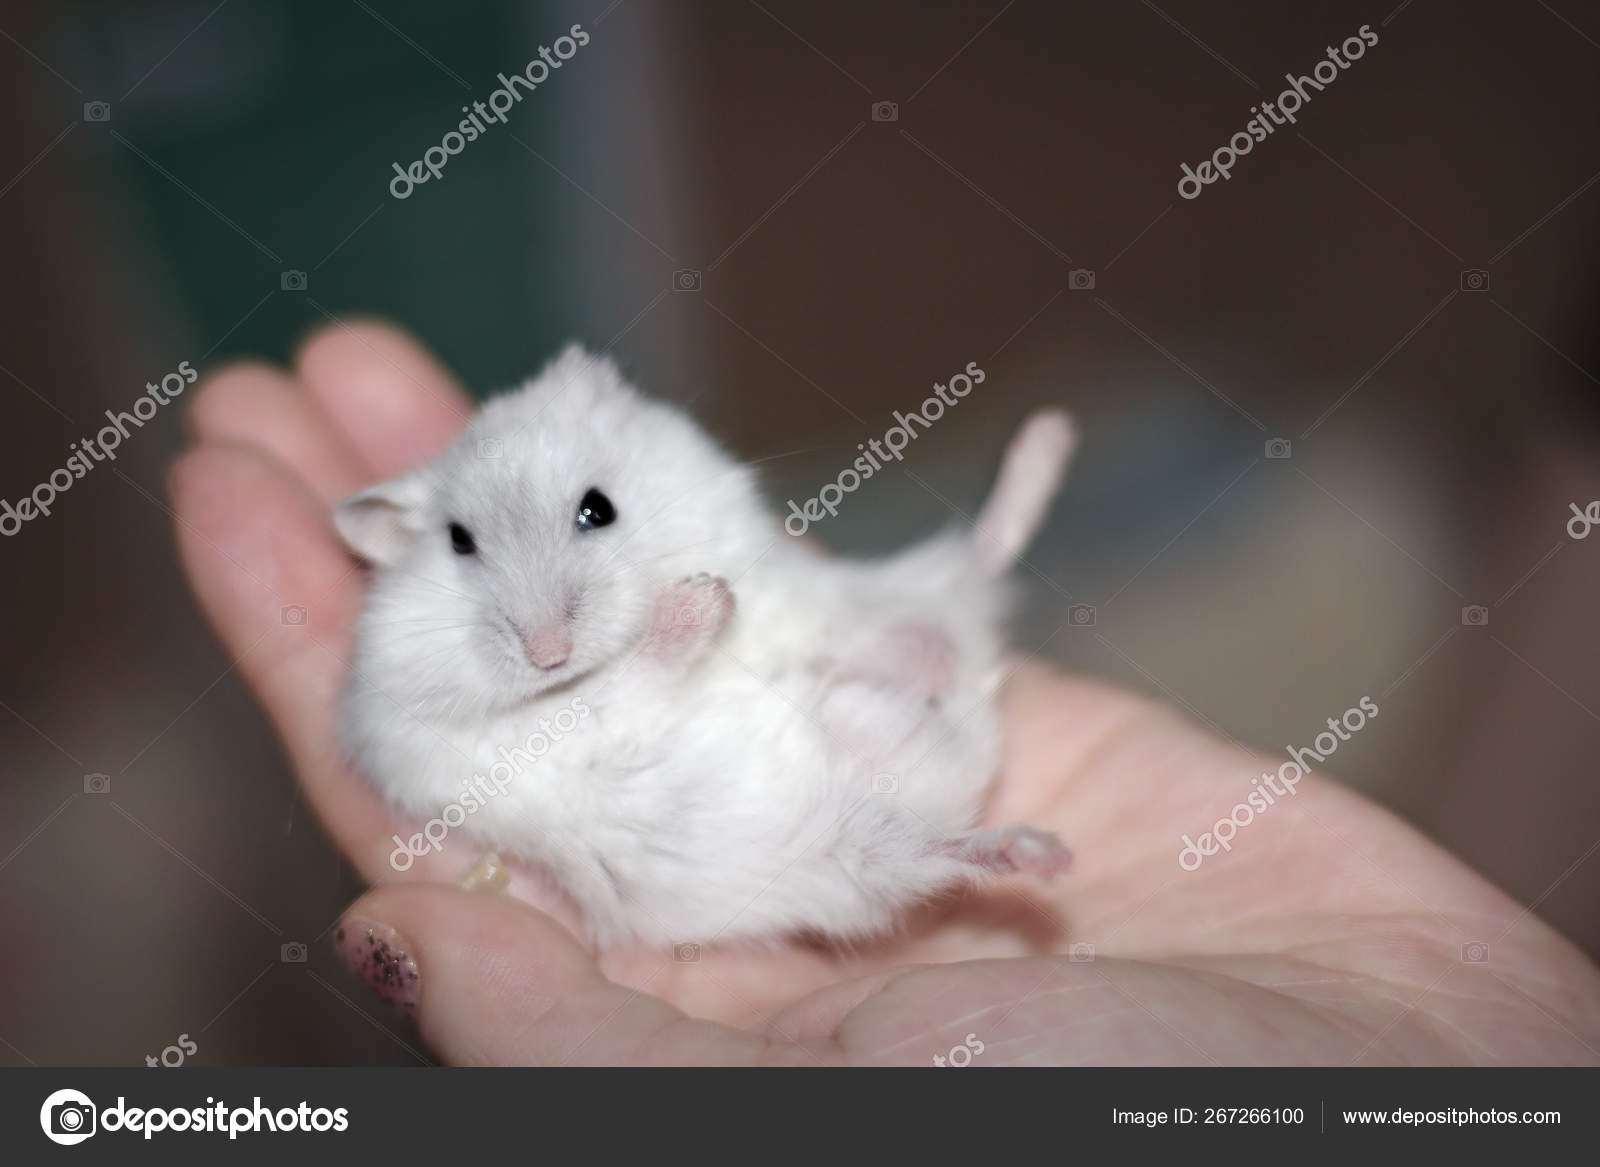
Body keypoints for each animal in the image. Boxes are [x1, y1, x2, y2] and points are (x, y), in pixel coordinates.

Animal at [334, 345, 1075, 947]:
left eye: (598, 508)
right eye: (459, 541)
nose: (549, 652)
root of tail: (968, 754)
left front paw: (713, 591)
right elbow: (626, 681)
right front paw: (706, 601)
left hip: (891, 594)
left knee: (969, 568)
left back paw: (1046, 441)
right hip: (869, 855)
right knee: (956, 842)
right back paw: (1039, 847)